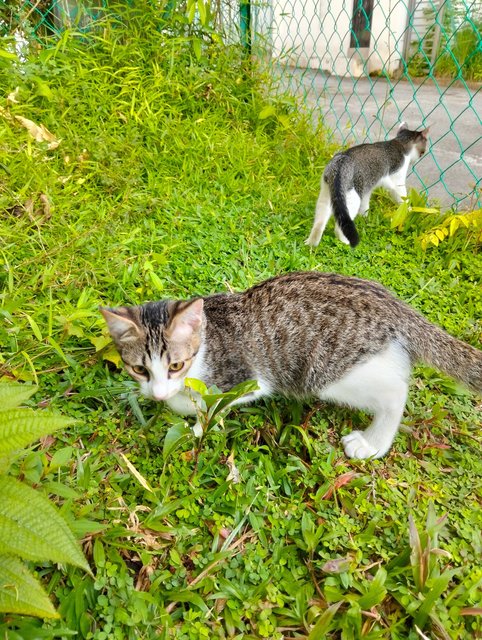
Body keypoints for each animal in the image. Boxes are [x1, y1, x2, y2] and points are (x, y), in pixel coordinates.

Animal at [100, 270, 480, 460]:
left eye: (176, 365)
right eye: (139, 370)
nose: (158, 394)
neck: (208, 339)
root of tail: (393, 304)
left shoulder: (247, 378)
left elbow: (210, 405)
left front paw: (196, 425)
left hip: (328, 371)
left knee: (395, 392)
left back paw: (372, 443)